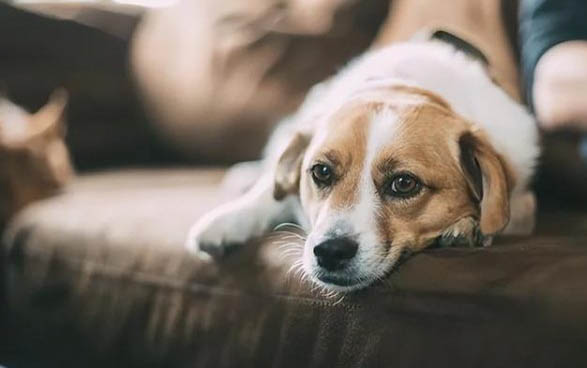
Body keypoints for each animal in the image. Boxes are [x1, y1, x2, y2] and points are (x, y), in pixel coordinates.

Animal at [186, 35, 540, 294]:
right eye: (321, 172)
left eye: (404, 183)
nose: (330, 251)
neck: (405, 85)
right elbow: (268, 193)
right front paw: (228, 220)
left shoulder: (522, 199)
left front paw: (468, 226)